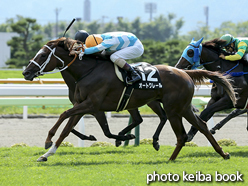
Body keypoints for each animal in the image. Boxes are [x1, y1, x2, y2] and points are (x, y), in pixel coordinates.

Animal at [22, 37, 235, 161]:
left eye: (42, 55)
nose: (26, 72)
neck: (87, 71)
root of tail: (185, 73)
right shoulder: (84, 106)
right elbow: (68, 128)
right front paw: (47, 153)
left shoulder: (91, 105)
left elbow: (64, 116)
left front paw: (48, 140)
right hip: (183, 107)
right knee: (202, 126)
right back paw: (223, 153)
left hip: (174, 108)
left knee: (181, 134)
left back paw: (169, 159)